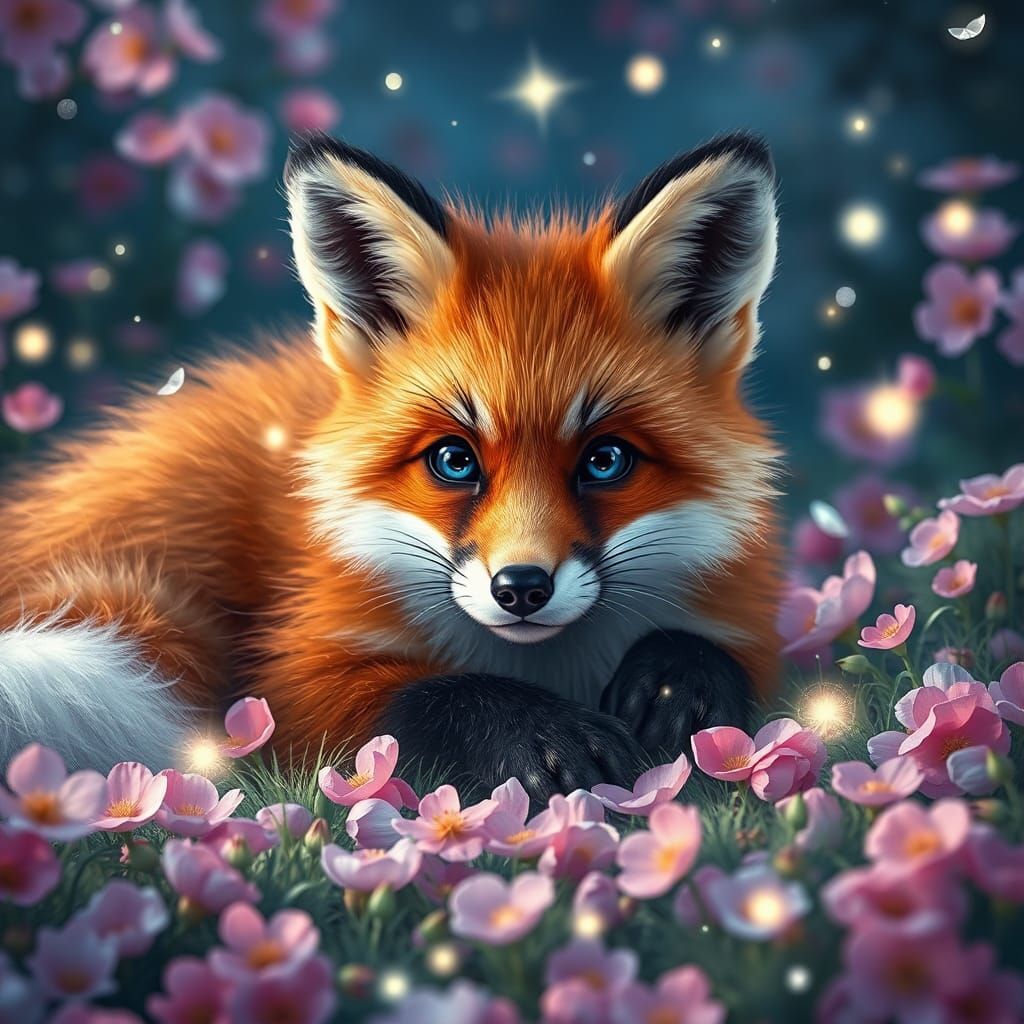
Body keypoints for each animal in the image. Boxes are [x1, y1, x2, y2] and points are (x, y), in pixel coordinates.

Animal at [0, 131, 782, 801]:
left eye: (606, 460)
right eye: (453, 460)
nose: (520, 589)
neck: (546, 663)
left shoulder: (745, 619)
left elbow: (719, 657)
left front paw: (677, 683)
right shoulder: (296, 675)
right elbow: (429, 695)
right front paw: (539, 731)